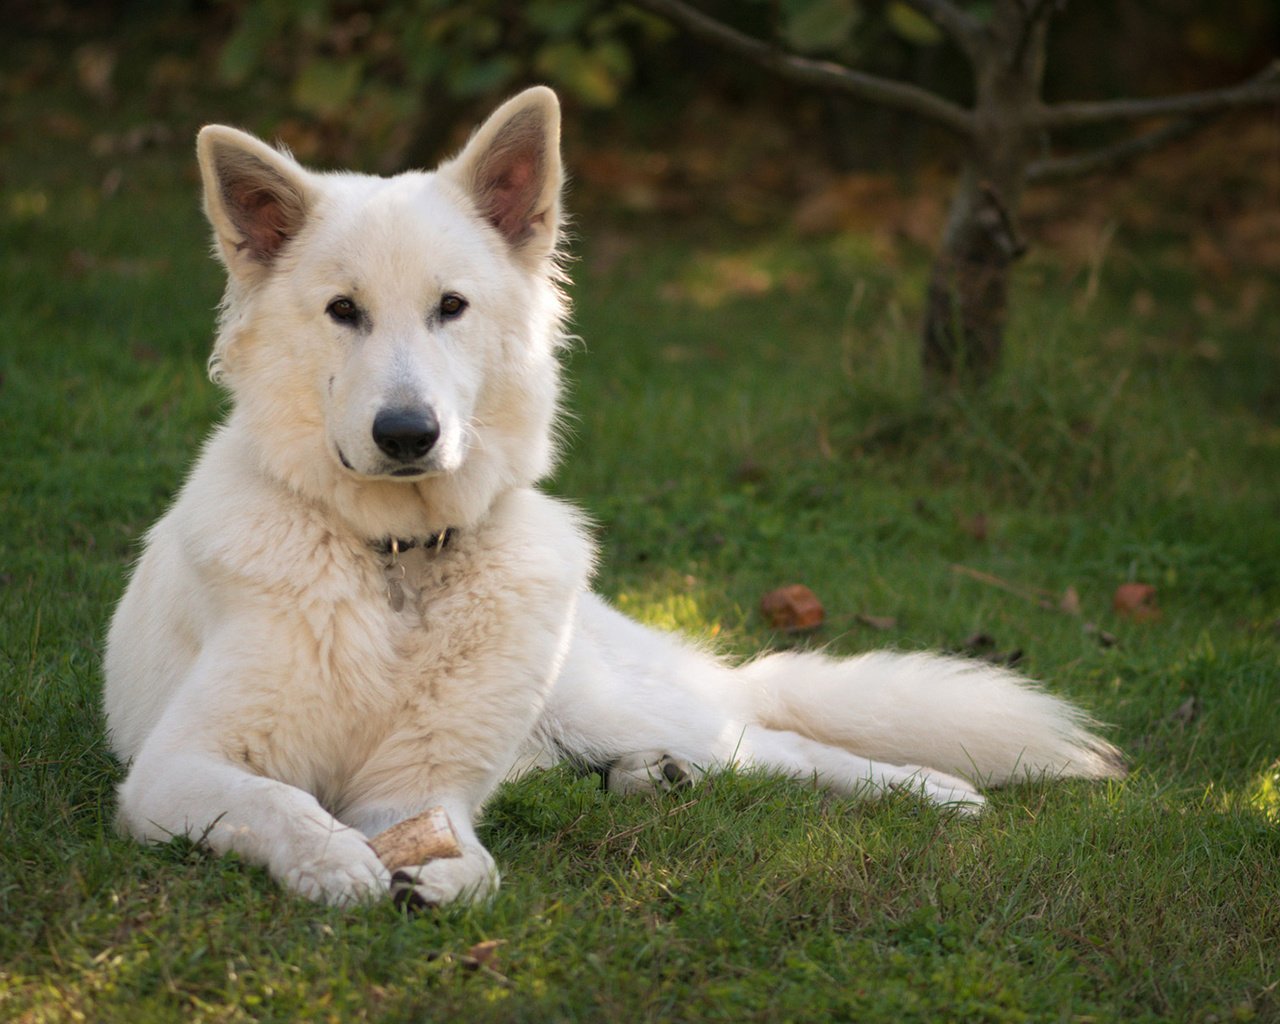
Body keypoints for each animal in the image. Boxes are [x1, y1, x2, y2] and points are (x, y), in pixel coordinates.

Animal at [102, 85, 1121, 906]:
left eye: (451, 308)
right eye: (342, 311)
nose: (407, 436)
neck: (397, 570)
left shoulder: (415, 785)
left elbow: (473, 861)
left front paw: (444, 876)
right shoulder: (174, 770)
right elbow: (279, 802)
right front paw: (336, 863)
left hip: (612, 705)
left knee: (782, 745)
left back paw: (925, 788)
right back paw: (649, 779)